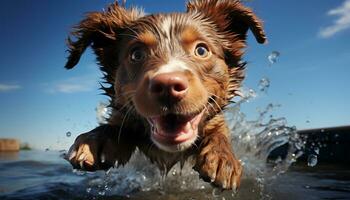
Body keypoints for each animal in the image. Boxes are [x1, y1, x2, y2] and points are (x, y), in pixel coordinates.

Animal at [64, 0, 266, 191]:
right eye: (136, 54)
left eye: (201, 50)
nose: (168, 86)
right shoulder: (122, 114)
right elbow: (116, 126)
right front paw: (94, 140)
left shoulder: (216, 119)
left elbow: (219, 132)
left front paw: (223, 157)